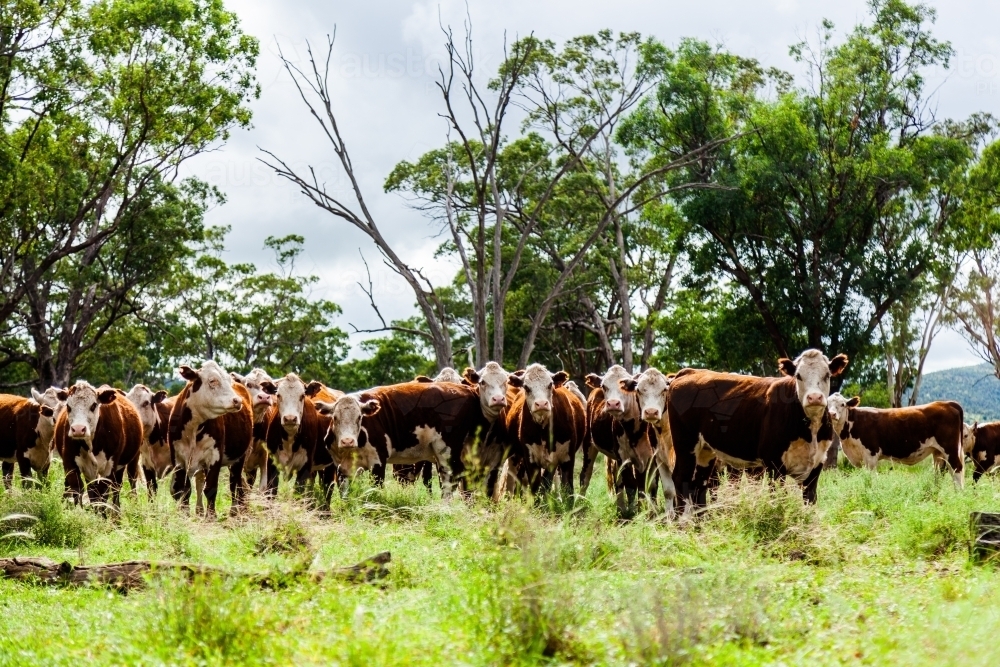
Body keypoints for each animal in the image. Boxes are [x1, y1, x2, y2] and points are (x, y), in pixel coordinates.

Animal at [167, 361, 253, 516]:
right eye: (212, 381)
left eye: (228, 380)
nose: (237, 400)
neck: (193, 429)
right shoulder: (178, 460)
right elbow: (185, 489)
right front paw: (185, 515)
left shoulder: (214, 456)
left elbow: (211, 489)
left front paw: (211, 516)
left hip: (239, 458)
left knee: (235, 484)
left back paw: (234, 511)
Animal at [316, 381, 486, 499]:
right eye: (335, 418)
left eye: (359, 417)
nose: (347, 441)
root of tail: (466, 389)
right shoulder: (342, 467)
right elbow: (345, 494)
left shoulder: (378, 462)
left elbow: (375, 490)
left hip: (447, 452)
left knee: (449, 483)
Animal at [497, 364, 587, 498]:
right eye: (526, 387)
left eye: (550, 384)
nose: (541, 404)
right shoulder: (530, 459)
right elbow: (536, 487)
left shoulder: (567, 457)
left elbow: (566, 488)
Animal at [666, 349, 849, 509]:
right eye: (798, 375)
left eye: (827, 375)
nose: (814, 397)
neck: (810, 431)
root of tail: (689, 372)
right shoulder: (774, 463)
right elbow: (778, 498)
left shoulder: (817, 464)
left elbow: (810, 501)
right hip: (685, 445)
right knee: (681, 479)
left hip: (705, 451)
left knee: (699, 485)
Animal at [825, 393, 965, 486]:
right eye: (827, 405)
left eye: (842, 404)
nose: (832, 414)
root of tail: (947, 403)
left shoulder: (871, 455)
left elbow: (871, 478)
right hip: (938, 452)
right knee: (941, 471)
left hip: (950, 448)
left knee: (957, 469)